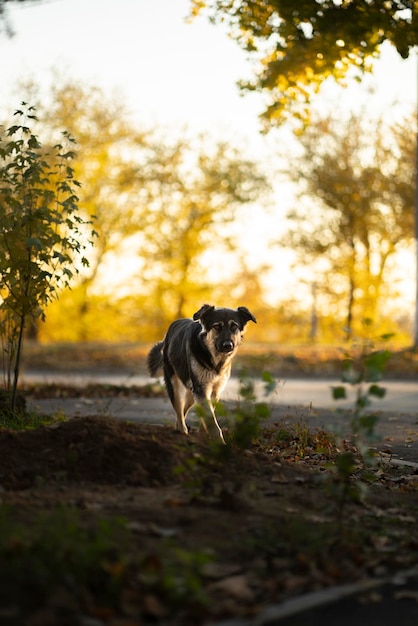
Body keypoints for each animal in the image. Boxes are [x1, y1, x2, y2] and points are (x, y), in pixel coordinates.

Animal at [147, 302, 258, 438]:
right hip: (174, 385)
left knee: (184, 408)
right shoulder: (201, 389)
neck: (215, 360)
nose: (228, 345)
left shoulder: (214, 390)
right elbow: (211, 420)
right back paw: (182, 431)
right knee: (179, 410)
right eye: (217, 326)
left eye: (234, 326)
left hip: (192, 392)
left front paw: (203, 433)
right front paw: (218, 439)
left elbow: (208, 414)